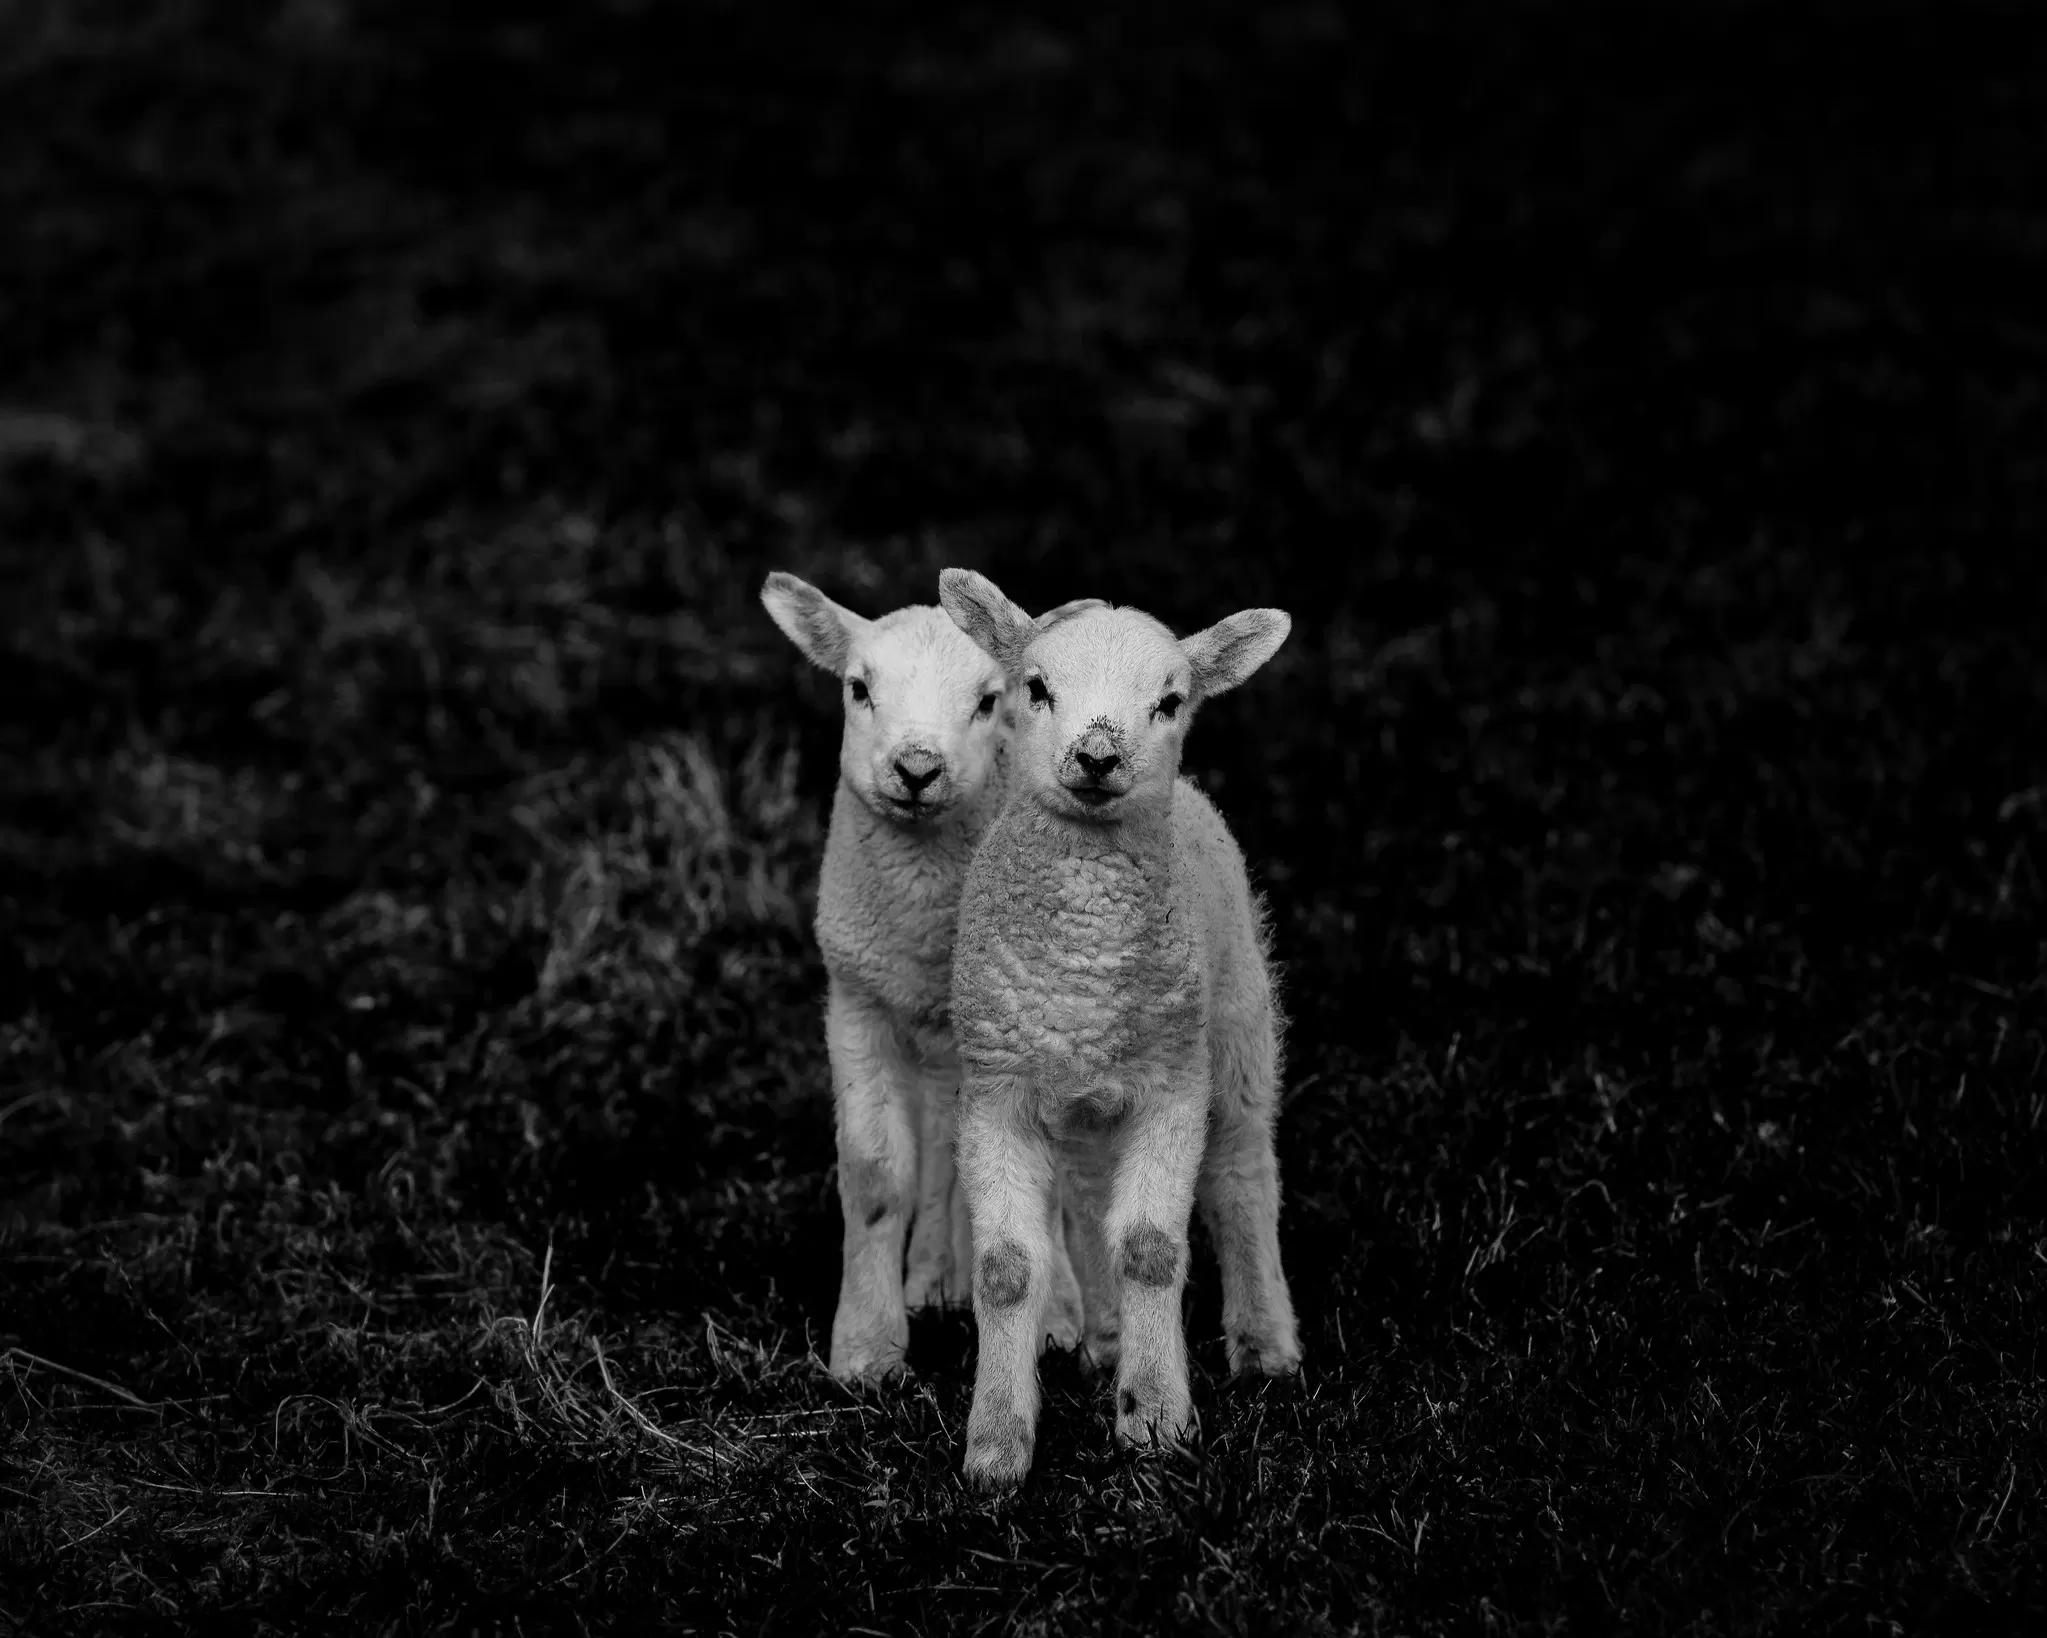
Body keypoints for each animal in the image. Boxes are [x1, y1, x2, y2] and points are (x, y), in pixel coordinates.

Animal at [757, 569, 1105, 1375]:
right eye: (858, 688)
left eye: (989, 701)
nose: (917, 771)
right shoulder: (856, 1001)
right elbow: (880, 1176)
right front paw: (867, 1346)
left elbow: (1032, 1185)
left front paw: (1052, 1321)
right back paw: (934, 1281)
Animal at [937, 569, 1301, 1490]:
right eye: (1035, 687)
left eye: (1169, 701)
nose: (1098, 758)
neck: (1083, 969)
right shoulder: (996, 1092)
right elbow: (1005, 1270)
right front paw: (997, 1446)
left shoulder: (1171, 1087)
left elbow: (1149, 1248)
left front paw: (1157, 1418)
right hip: (1084, 1102)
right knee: (1087, 1193)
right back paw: (1104, 1341)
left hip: (1234, 1030)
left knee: (1242, 1173)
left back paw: (1263, 1344)